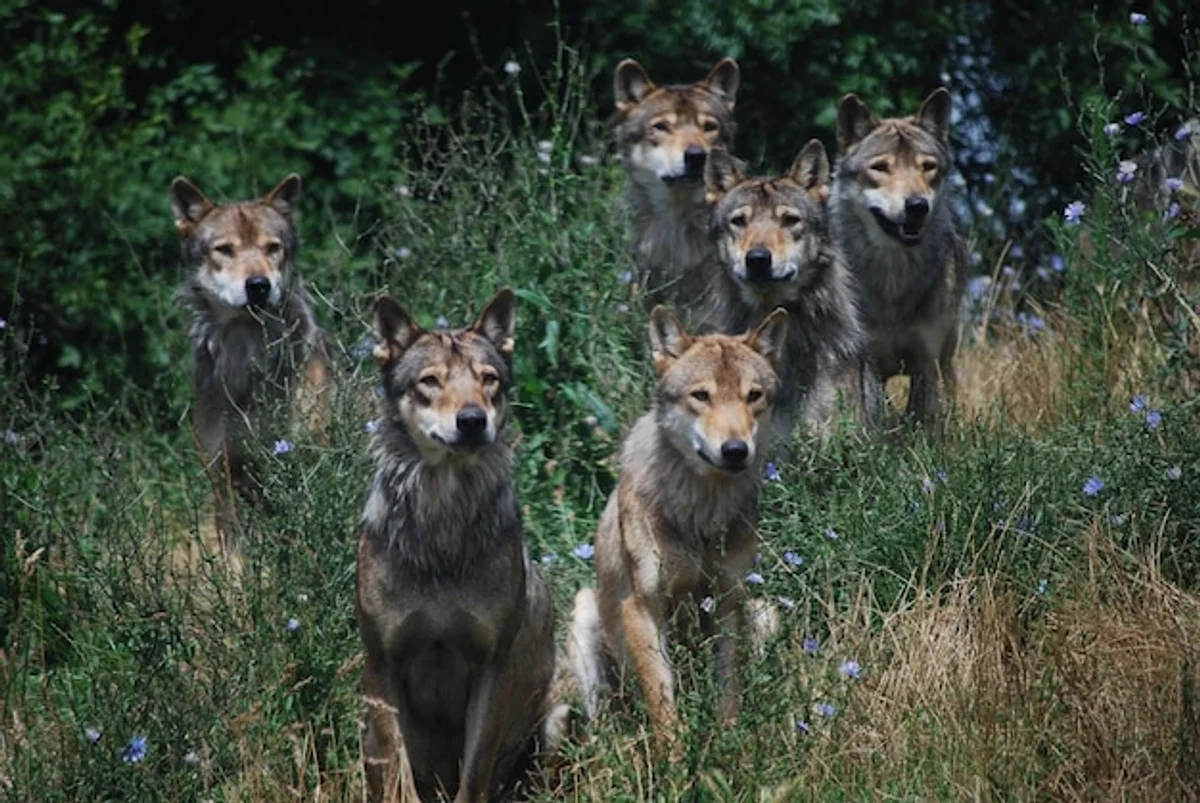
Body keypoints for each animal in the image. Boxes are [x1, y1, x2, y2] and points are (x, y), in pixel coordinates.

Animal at [170, 173, 334, 561]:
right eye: (224, 250)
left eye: (272, 248)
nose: (258, 285)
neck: (246, 360)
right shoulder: (224, 477)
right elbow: (235, 561)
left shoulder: (305, 470)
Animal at [356, 288, 562, 803]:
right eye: (430, 381)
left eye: (489, 380)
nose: (472, 420)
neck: (443, 529)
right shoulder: (382, 668)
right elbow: (400, 780)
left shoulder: (491, 671)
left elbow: (474, 777)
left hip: (557, 722)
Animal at [566, 305, 788, 758]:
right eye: (701, 396)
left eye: (753, 396)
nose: (735, 450)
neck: (701, 512)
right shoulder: (642, 608)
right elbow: (663, 701)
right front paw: (675, 763)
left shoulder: (727, 602)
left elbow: (727, 691)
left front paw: (729, 745)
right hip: (584, 617)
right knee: (605, 725)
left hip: (764, 611)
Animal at [830, 88, 969, 428]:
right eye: (881, 167)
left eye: (927, 167)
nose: (917, 206)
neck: (893, 276)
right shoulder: (868, 362)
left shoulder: (927, 360)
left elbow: (927, 421)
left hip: (948, 356)